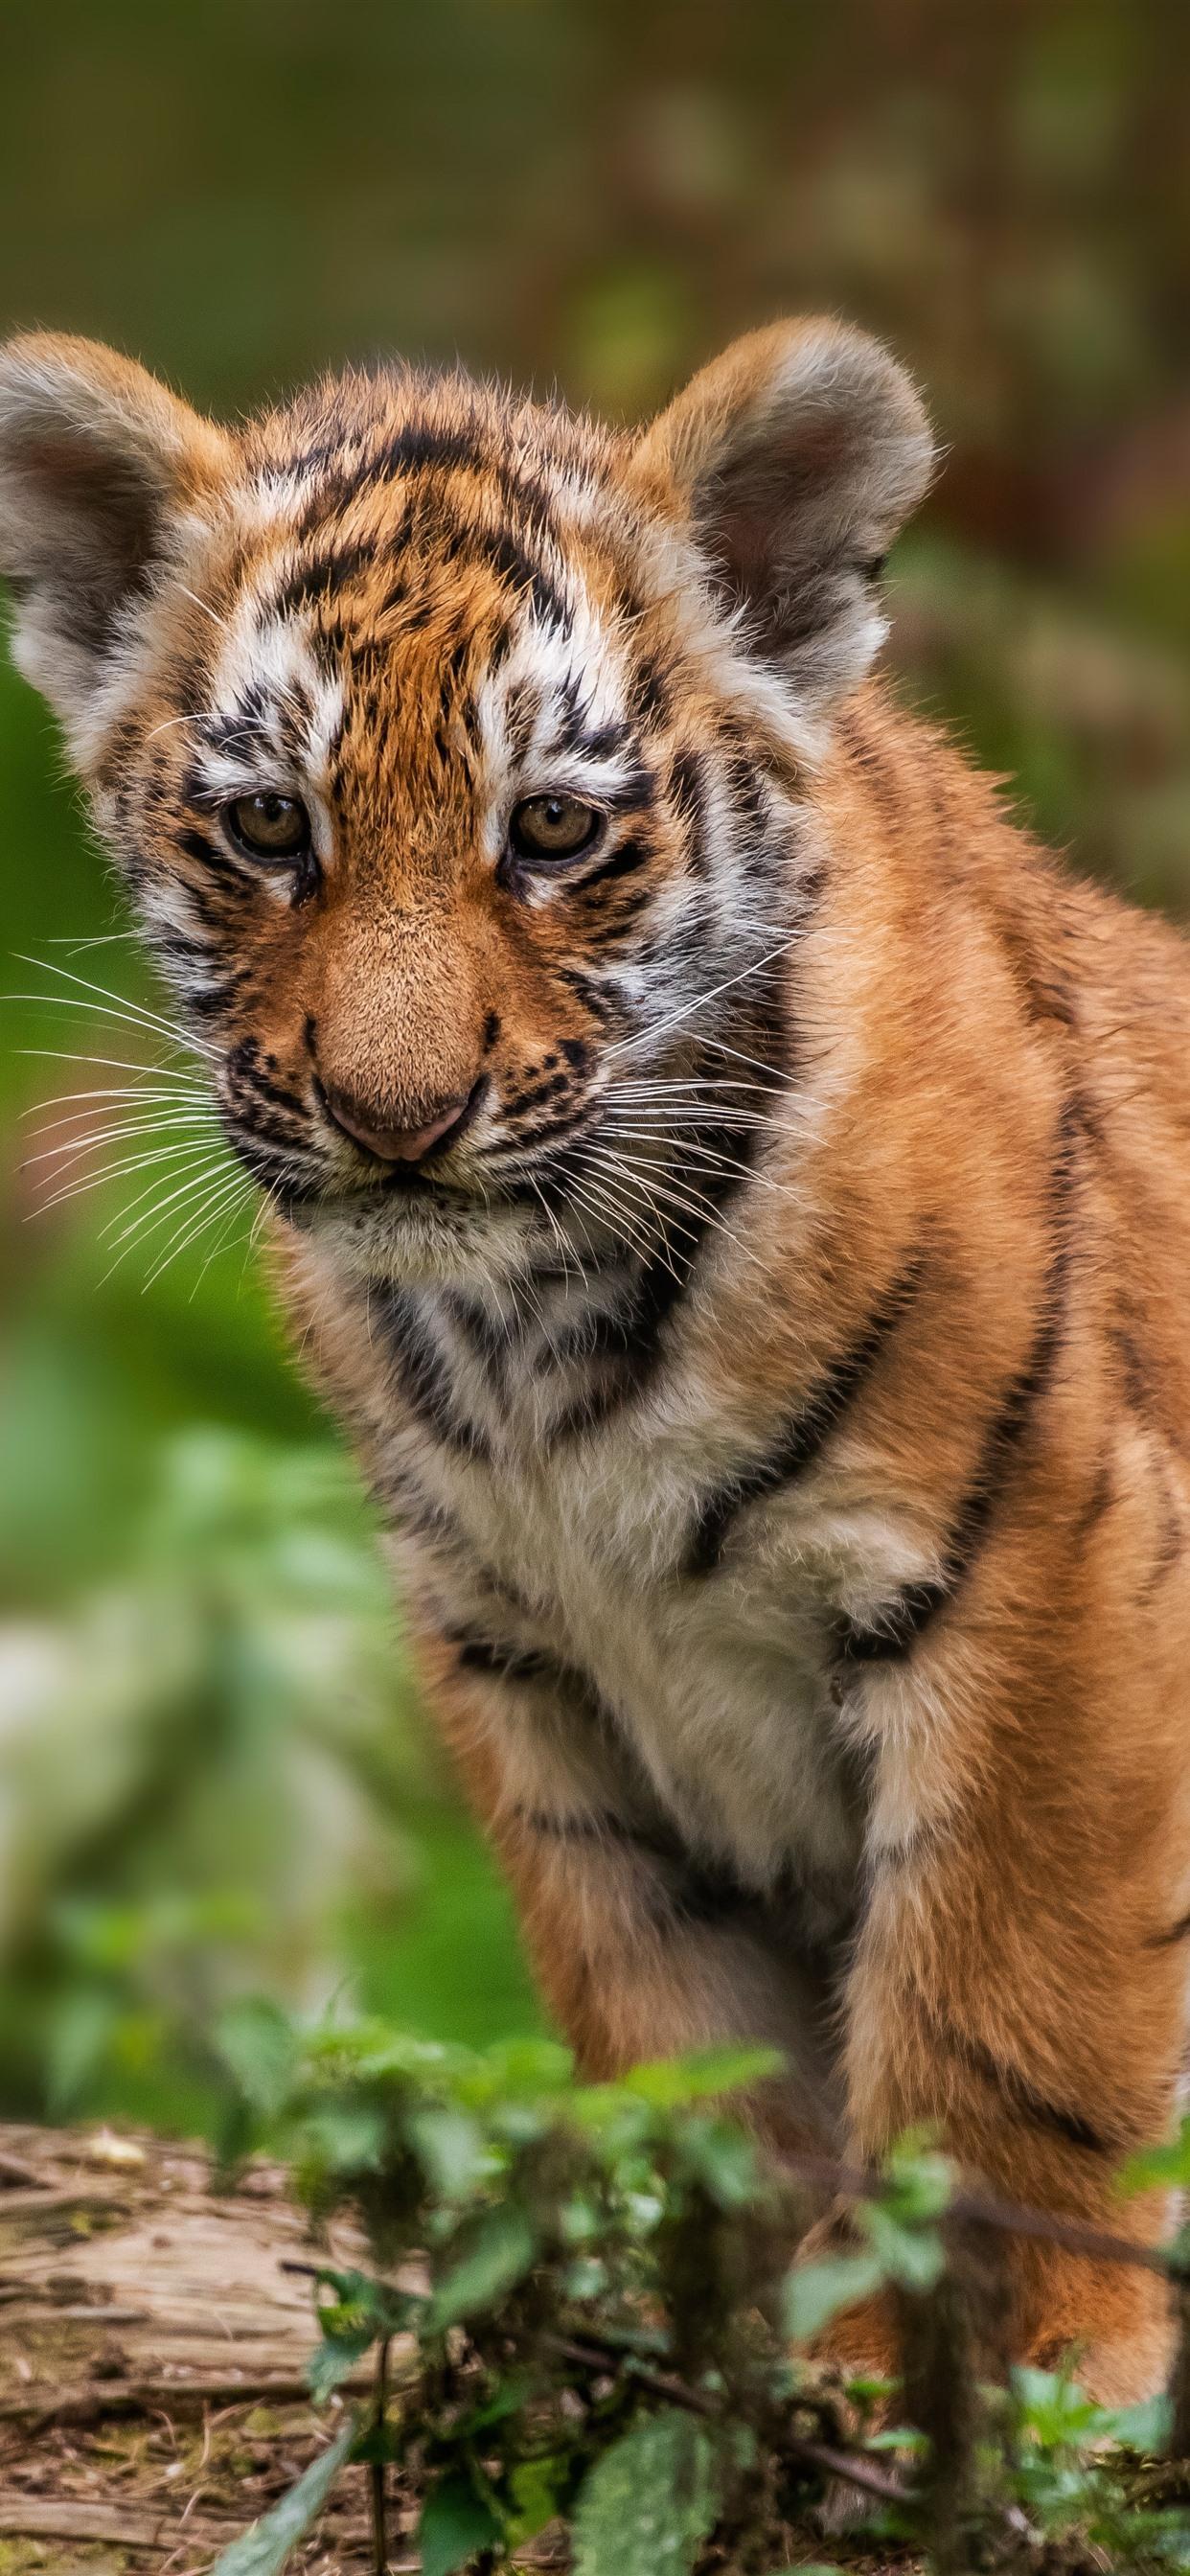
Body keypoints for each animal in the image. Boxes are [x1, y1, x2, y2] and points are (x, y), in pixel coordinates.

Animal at [3, 315, 1190, 2405]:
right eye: (268, 827)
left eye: (553, 828)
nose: (394, 1118)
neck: (536, 1332)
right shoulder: (529, 1664)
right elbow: (680, 2040)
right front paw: (739, 2339)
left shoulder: (1051, 1575)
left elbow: (1007, 2012)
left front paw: (1009, 2368)